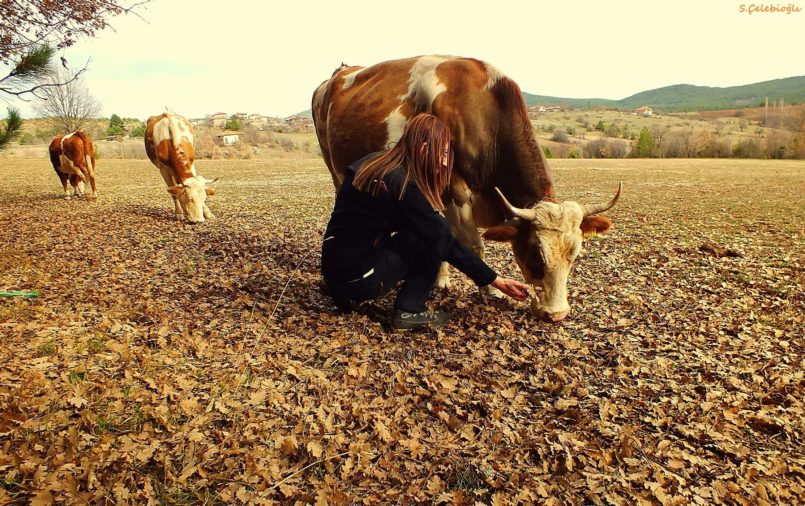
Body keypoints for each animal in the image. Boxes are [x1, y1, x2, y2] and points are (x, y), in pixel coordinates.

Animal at [310, 55, 620, 322]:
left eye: (574, 254)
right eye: (536, 254)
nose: (556, 314)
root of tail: (340, 73)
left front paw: (442, 279)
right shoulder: (454, 189)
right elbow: (471, 244)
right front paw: (491, 289)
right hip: (331, 163)